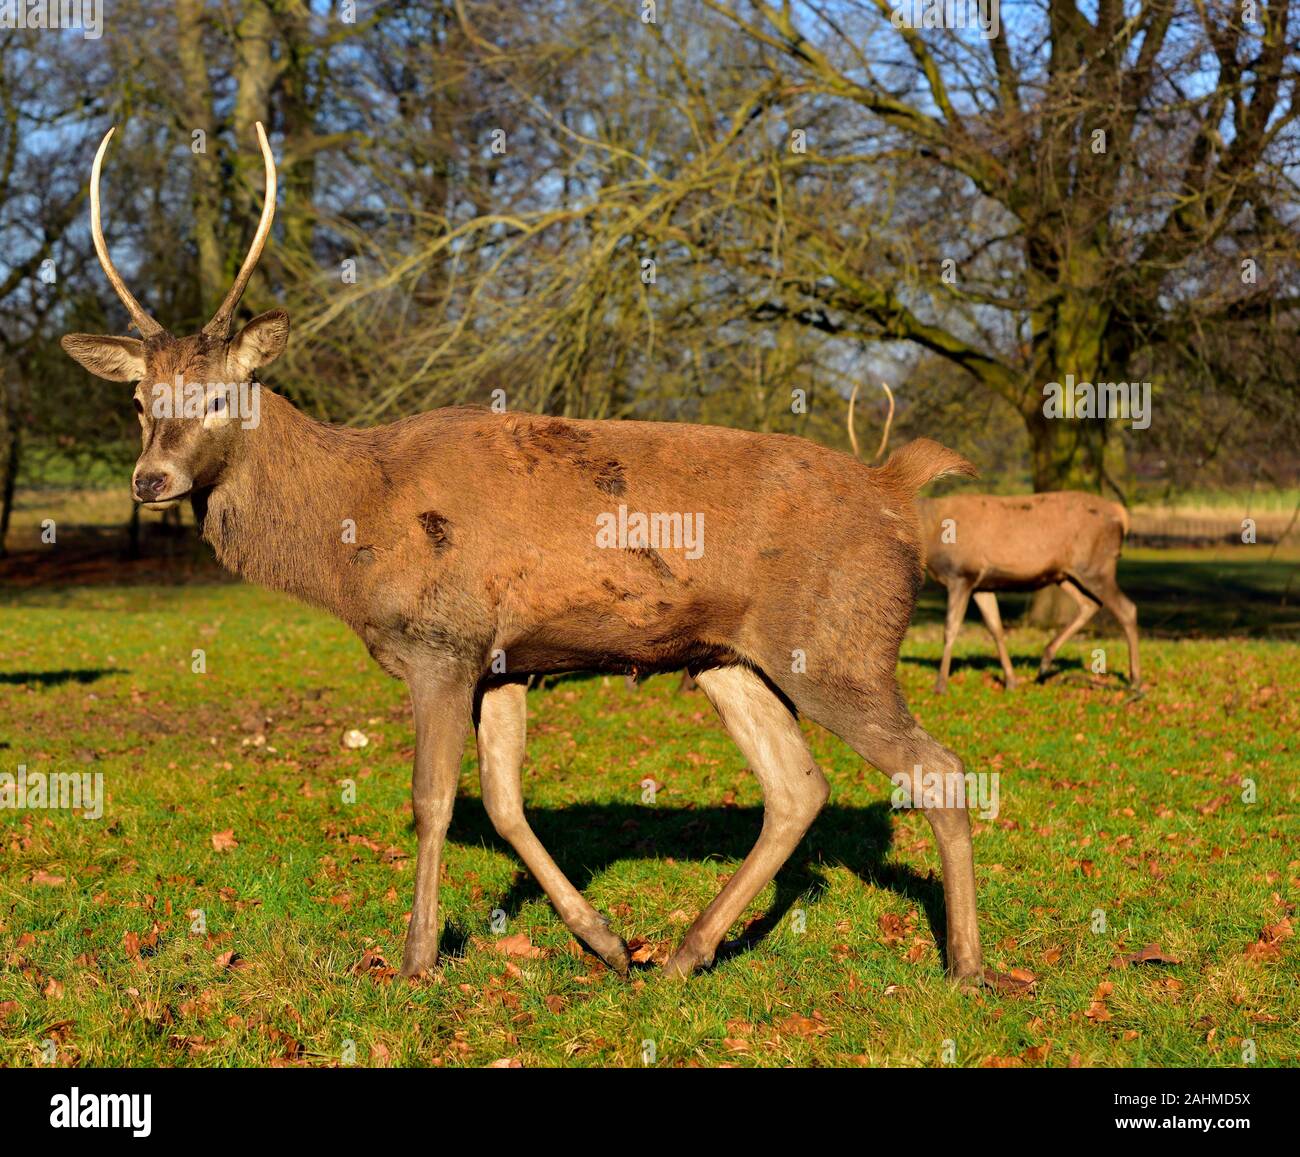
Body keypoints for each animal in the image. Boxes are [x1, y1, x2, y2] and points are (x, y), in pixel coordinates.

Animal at [63, 126, 982, 977]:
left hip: (839, 644)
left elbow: (434, 799)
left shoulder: (442, 641)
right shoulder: (502, 659)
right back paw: (684, 953)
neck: (352, 528)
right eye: (140, 399)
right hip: (731, 657)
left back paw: (965, 964)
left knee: (937, 767)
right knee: (798, 787)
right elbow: (506, 805)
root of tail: (897, 489)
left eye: (221, 396)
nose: (150, 479)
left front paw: (416, 958)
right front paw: (606, 941)